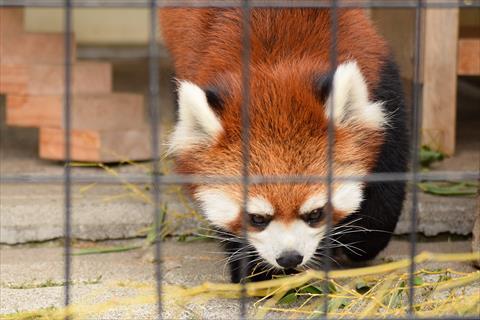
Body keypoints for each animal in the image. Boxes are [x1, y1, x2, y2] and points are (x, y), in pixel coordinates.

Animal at [160, 8, 408, 282]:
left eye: (315, 213)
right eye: (257, 218)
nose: (289, 258)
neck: (277, 59)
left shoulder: (381, 77)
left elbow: (388, 179)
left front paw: (362, 239)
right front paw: (253, 271)